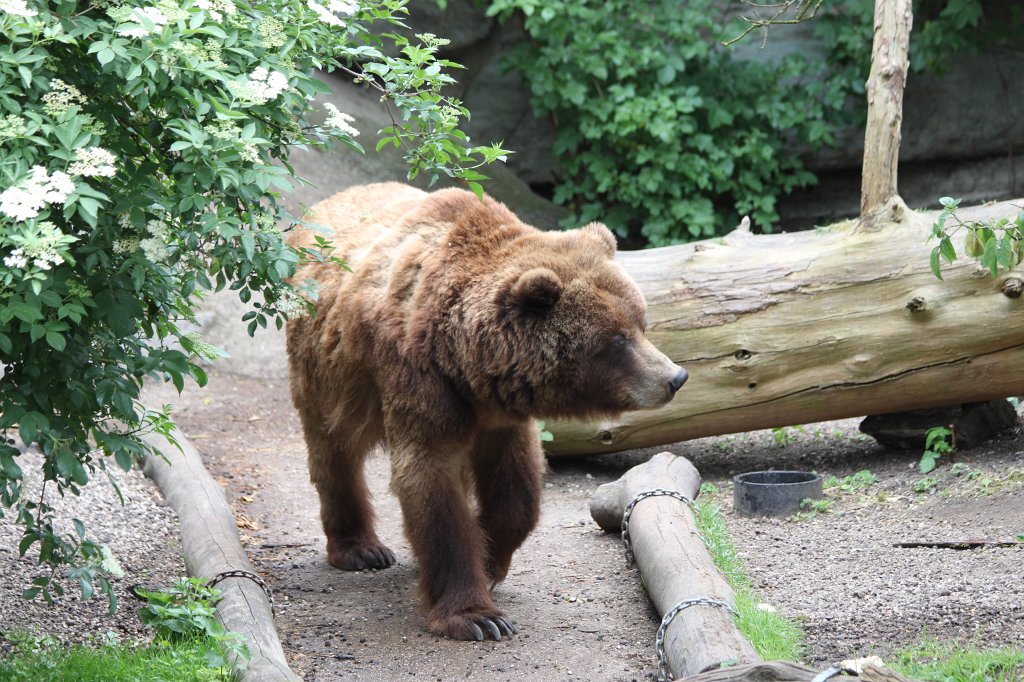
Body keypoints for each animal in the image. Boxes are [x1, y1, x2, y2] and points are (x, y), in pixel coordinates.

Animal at [285, 182, 687, 642]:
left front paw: (491, 558)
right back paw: (361, 549)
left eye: (641, 322)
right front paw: (478, 616)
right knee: (334, 449)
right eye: (616, 341)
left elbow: (516, 487)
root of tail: (323, 205)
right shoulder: (419, 377)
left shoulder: (501, 411)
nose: (675, 377)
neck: (464, 359)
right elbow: (432, 483)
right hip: (328, 371)